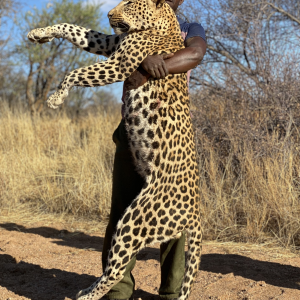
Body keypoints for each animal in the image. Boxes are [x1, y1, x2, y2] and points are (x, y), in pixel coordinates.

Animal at [27, 0, 202, 300]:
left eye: (130, 3)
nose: (109, 14)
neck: (163, 20)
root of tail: (197, 211)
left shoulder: (120, 63)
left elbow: (75, 72)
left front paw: (56, 97)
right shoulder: (110, 42)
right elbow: (73, 28)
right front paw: (39, 33)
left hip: (136, 219)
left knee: (117, 268)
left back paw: (88, 296)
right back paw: (87, 289)